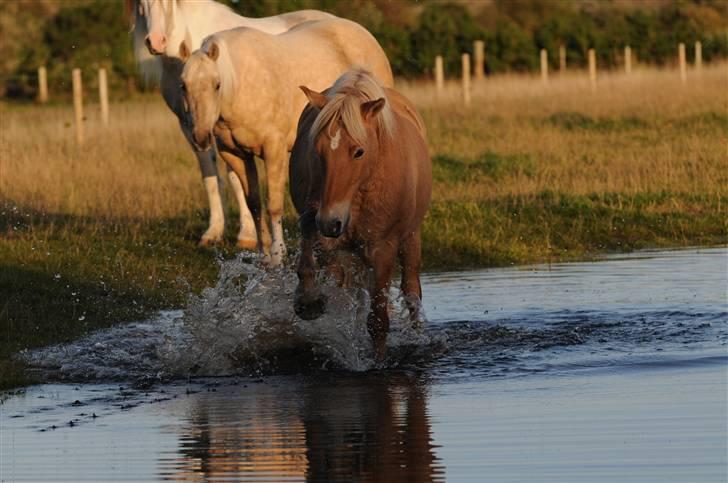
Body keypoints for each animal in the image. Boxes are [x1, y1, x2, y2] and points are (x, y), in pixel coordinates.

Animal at [127, 0, 332, 250]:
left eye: (170, 4)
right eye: (141, 3)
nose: (156, 42)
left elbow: (235, 179)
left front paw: (247, 235)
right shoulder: (191, 127)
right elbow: (210, 175)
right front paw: (213, 232)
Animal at [178, 20, 392, 266]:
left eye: (217, 84)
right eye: (183, 85)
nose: (200, 137)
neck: (240, 83)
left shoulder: (273, 149)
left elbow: (274, 205)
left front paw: (278, 255)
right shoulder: (235, 154)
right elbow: (254, 204)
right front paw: (263, 255)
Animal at [290, 71, 432, 360]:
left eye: (358, 151)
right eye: (317, 150)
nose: (330, 222)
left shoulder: (383, 248)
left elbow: (378, 319)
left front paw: (378, 361)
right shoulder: (319, 222)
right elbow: (308, 241)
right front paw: (308, 300)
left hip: (411, 238)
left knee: (412, 290)